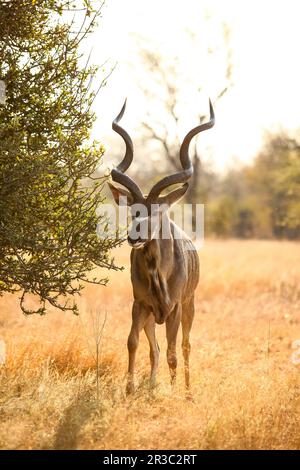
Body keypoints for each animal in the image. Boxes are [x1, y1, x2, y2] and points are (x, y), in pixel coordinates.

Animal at [109, 99, 214, 392]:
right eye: (132, 210)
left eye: (156, 211)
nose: (134, 237)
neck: (159, 273)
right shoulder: (140, 305)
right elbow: (133, 343)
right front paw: (130, 389)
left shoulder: (175, 307)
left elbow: (173, 352)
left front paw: (175, 391)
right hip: (152, 317)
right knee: (154, 348)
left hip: (189, 306)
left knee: (185, 346)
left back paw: (187, 392)